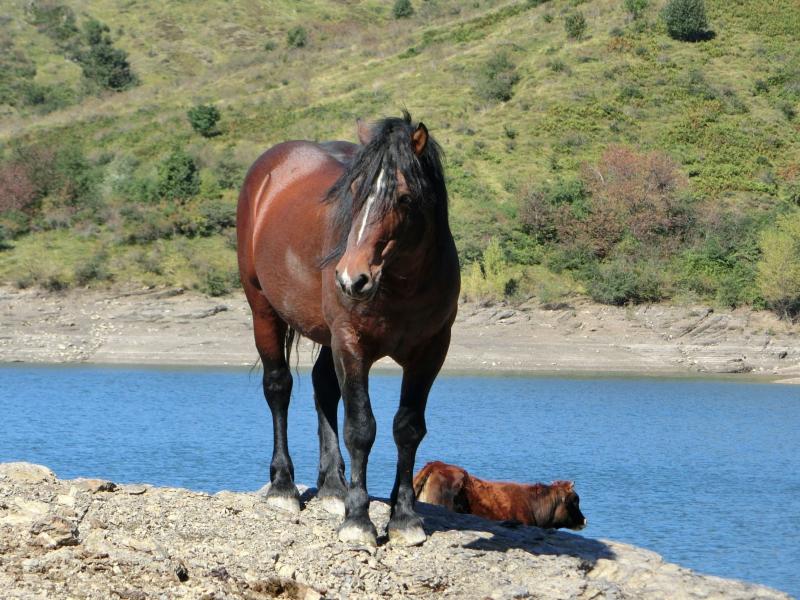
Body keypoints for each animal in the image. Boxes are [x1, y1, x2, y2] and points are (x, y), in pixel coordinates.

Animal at [237, 112, 460, 547]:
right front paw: (359, 519)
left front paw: (403, 517)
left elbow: (408, 428)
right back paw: (284, 488)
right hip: (264, 310)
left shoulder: (430, 353)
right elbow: (360, 428)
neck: (402, 284)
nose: (351, 278)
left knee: (323, 388)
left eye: (404, 197)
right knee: (279, 387)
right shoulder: (352, 344)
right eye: (354, 191)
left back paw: (333, 488)